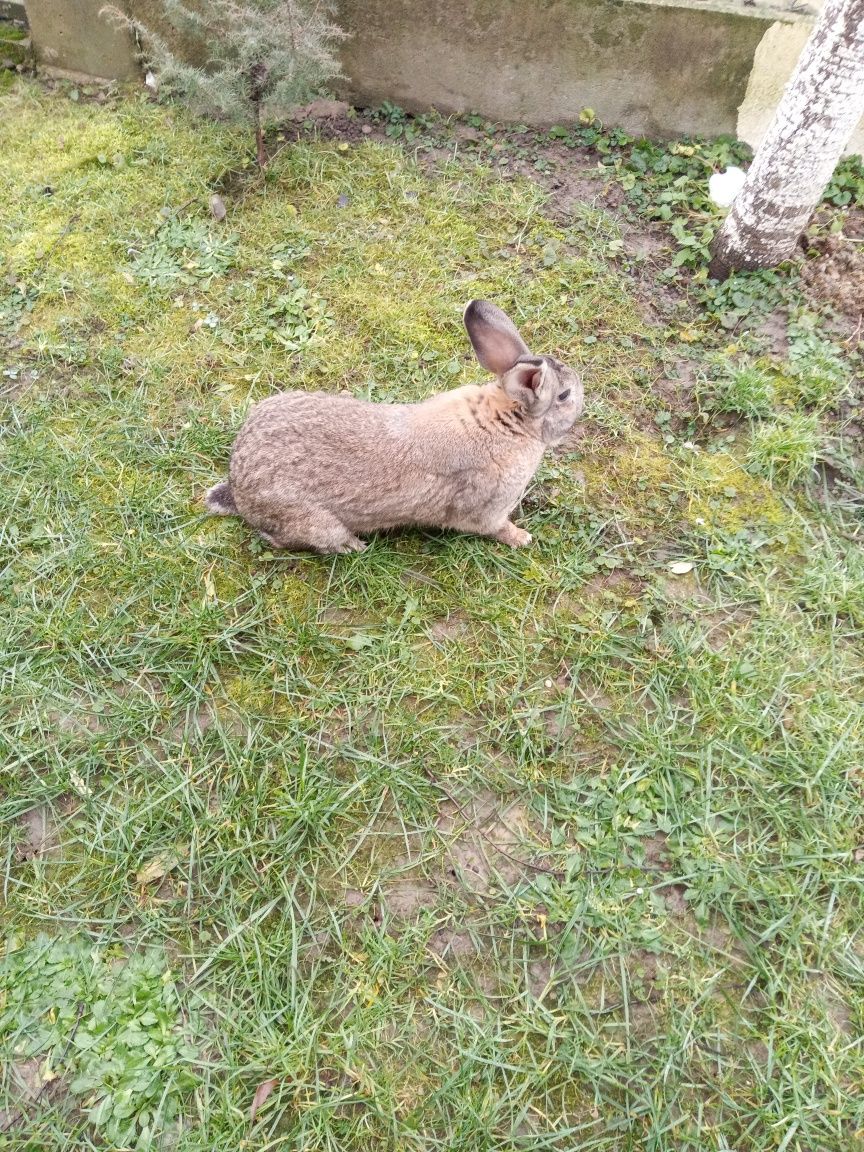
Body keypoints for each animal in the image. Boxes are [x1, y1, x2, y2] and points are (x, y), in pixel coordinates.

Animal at [205, 299, 582, 555]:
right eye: (564, 395)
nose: (583, 397)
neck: (507, 420)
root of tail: (240, 490)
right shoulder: (488, 508)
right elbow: (495, 527)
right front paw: (522, 538)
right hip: (311, 522)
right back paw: (353, 545)